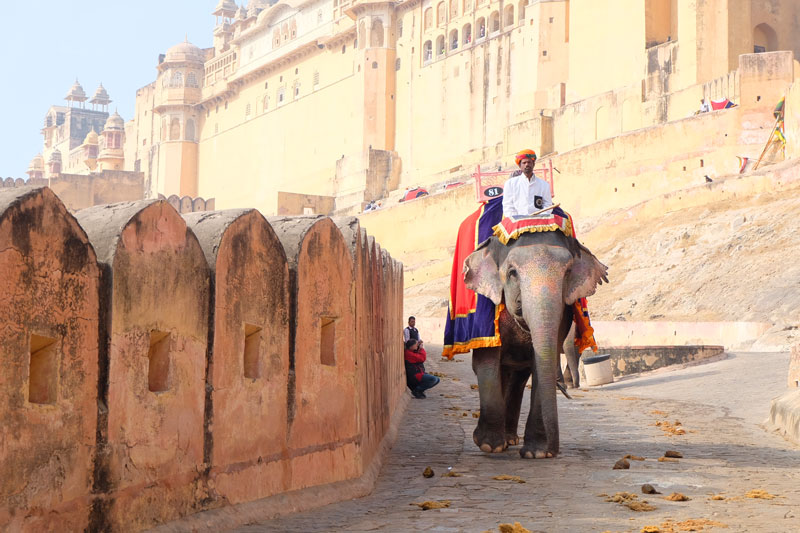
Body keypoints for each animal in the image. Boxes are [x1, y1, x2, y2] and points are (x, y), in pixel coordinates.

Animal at [463, 229, 608, 459]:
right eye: (512, 272)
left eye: (568, 272)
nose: (553, 450)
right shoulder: (486, 314)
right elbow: (486, 362)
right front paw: (489, 445)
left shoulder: (563, 317)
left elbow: (543, 363)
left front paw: (537, 453)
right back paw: (504, 441)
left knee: (518, 379)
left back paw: (511, 439)